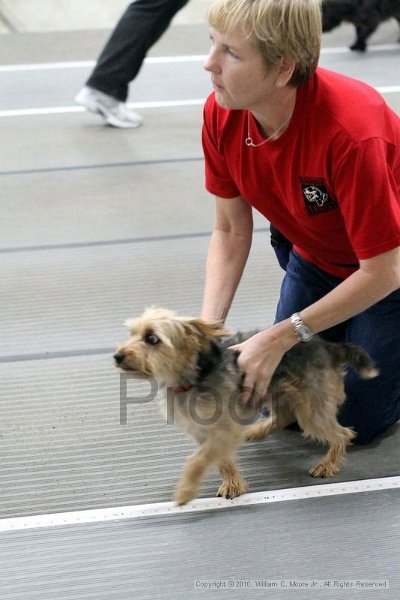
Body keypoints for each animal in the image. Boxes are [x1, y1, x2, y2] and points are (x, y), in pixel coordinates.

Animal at [113, 308, 378, 504]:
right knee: (283, 415)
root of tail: (330, 347)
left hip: (312, 409)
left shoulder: (222, 430)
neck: (192, 377)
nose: (118, 356)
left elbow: (197, 461)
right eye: (132, 333)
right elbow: (220, 459)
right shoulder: (205, 433)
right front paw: (232, 483)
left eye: (152, 338)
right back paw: (257, 430)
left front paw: (185, 491)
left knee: (343, 434)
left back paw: (327, 464)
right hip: (275, 389)